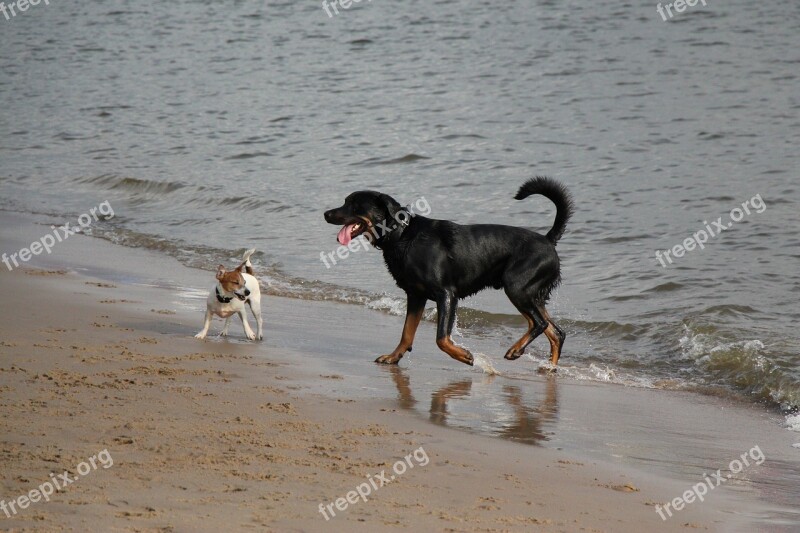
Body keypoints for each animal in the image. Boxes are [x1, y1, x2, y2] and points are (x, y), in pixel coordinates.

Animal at [322, 178, 572, 366]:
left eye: (354, 205)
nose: (326, 214)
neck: (402, 235)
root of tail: (548, 240)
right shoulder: (416, 295)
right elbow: (407, 332)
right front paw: (394, 357)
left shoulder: (446, 294)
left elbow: (441, 338)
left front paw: (463, 355)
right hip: (531, 294)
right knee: (556, 332)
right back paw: (549, 369)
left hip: (517, 287)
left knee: (539, 324)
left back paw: (516, 351)